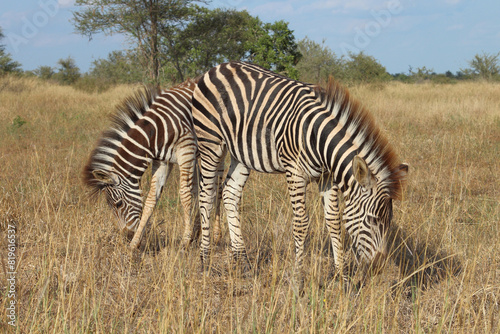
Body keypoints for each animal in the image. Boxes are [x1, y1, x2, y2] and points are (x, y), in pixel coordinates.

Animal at [83, 80, 221, 248]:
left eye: (118, 204)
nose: (127, 236)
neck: (156, 132)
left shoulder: (186, 151)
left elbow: (185, 195)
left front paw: (186, 240)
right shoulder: (163, 161)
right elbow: (151, 199)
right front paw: (134, 243)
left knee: (219, 186)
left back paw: (216, 236)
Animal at [191, 61, 406, 284]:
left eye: (389, 222)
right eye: (372, 220)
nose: (378, 268)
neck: (318, 138)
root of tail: (219, 66)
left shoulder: (327, 177)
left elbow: (334, 221)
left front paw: (341, 275)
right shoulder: (294, 173)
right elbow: (301, 223)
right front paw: (298, 277)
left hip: (241, 153)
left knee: (229, 194)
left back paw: (243, 262)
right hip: (210, 143)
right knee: (206, 196)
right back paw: (205, 260)